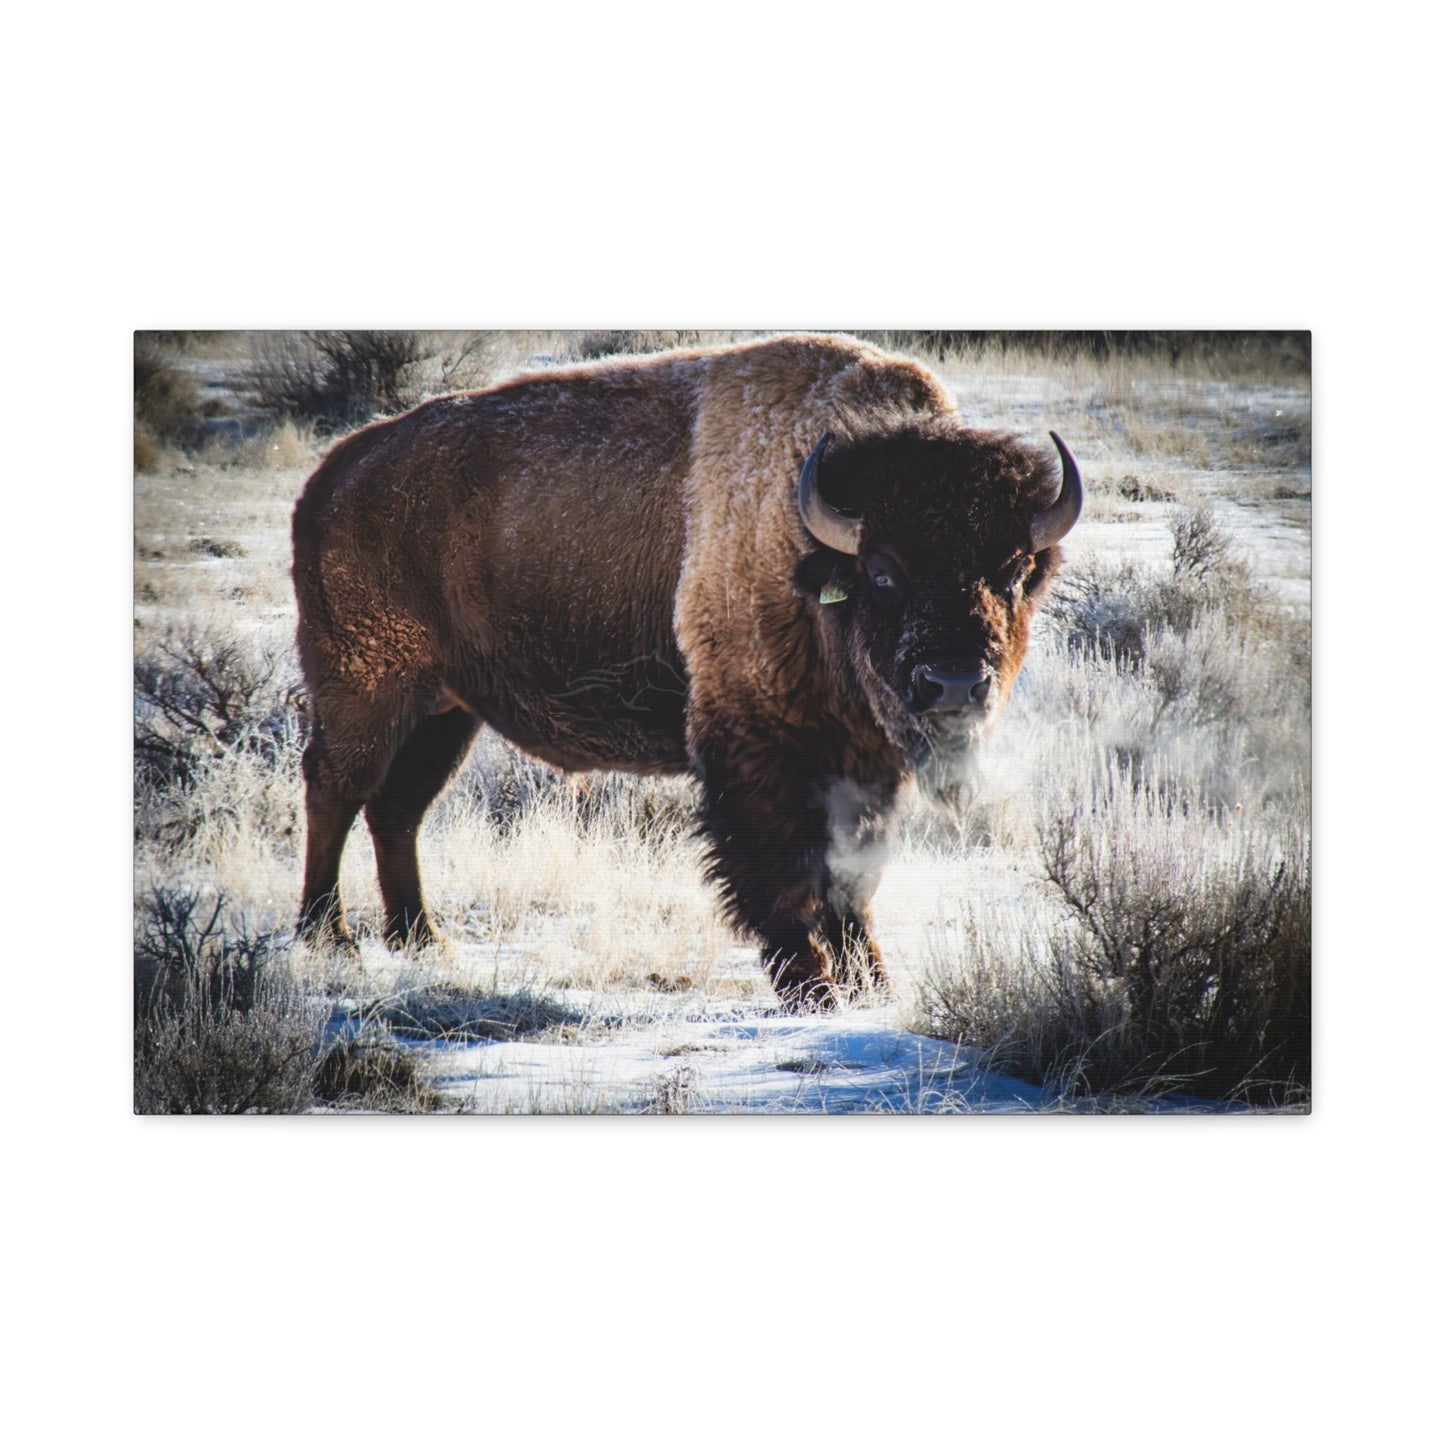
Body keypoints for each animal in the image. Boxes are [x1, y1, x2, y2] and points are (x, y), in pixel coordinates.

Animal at [291, 334, 1081, 1007]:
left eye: (1014, 571)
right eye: (883, 573)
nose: (953, 684)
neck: (808, 543)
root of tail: (332, 475)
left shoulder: (865, 763)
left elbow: (853, 879)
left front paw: (872, 986)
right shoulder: (759, 748)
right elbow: (785, 874)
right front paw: (813, 990)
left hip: (445, 712)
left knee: (397, 809)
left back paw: (422, 940)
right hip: (366, 687)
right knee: (336, 790)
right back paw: (328, 937)